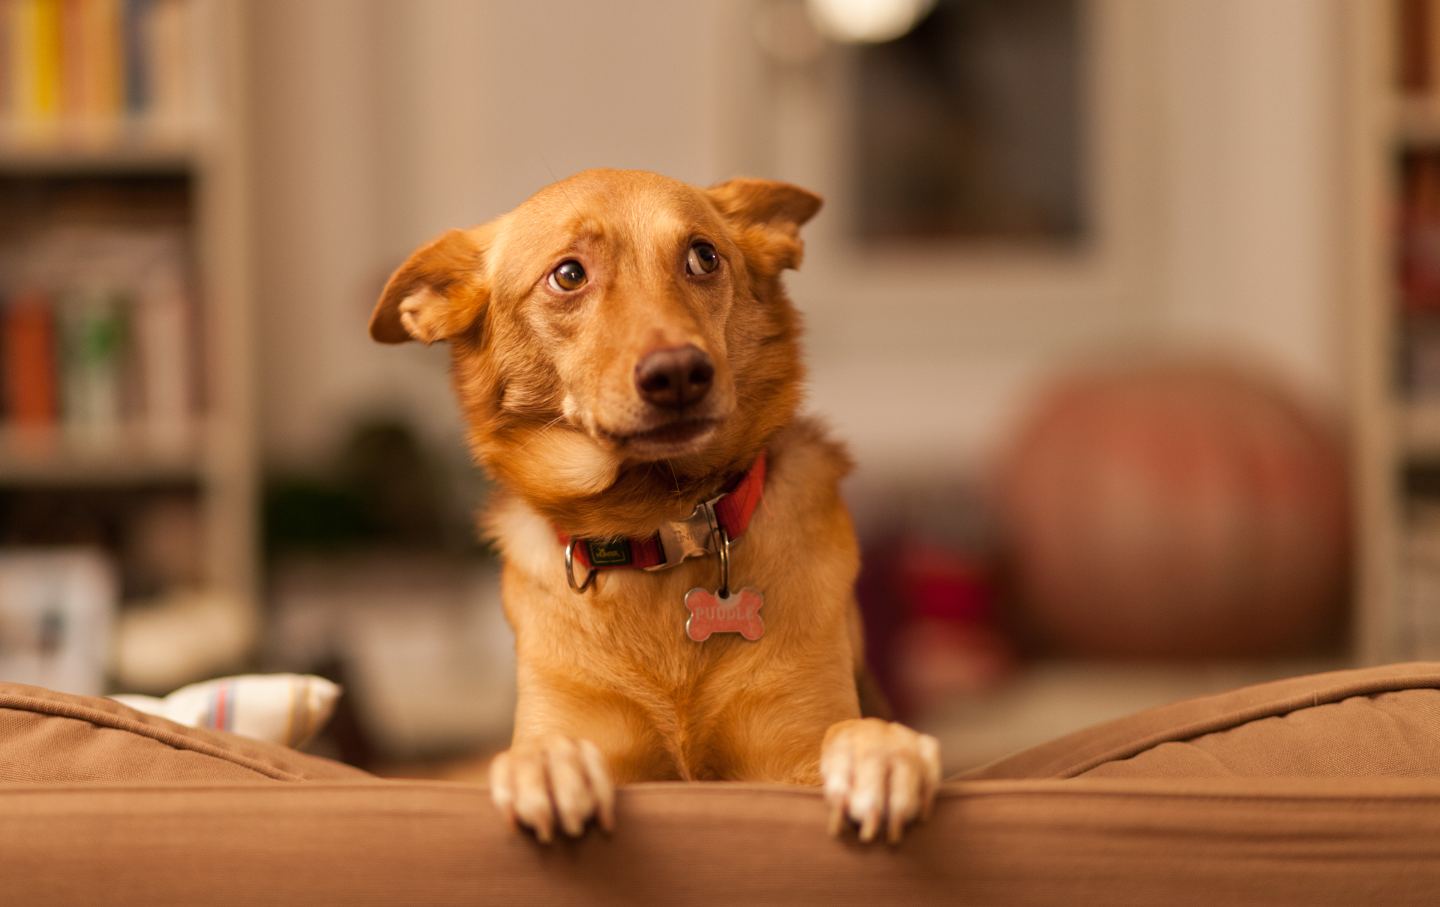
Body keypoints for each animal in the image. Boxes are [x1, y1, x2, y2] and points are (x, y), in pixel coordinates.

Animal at [365, 169, 938, 846]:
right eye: (568, 275)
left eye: (704, 257)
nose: (679, 373)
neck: (657, 526)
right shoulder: (586, 727)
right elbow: (546, 747)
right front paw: (547, 765)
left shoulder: (788, 751)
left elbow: (846, 732)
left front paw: (882, 750)